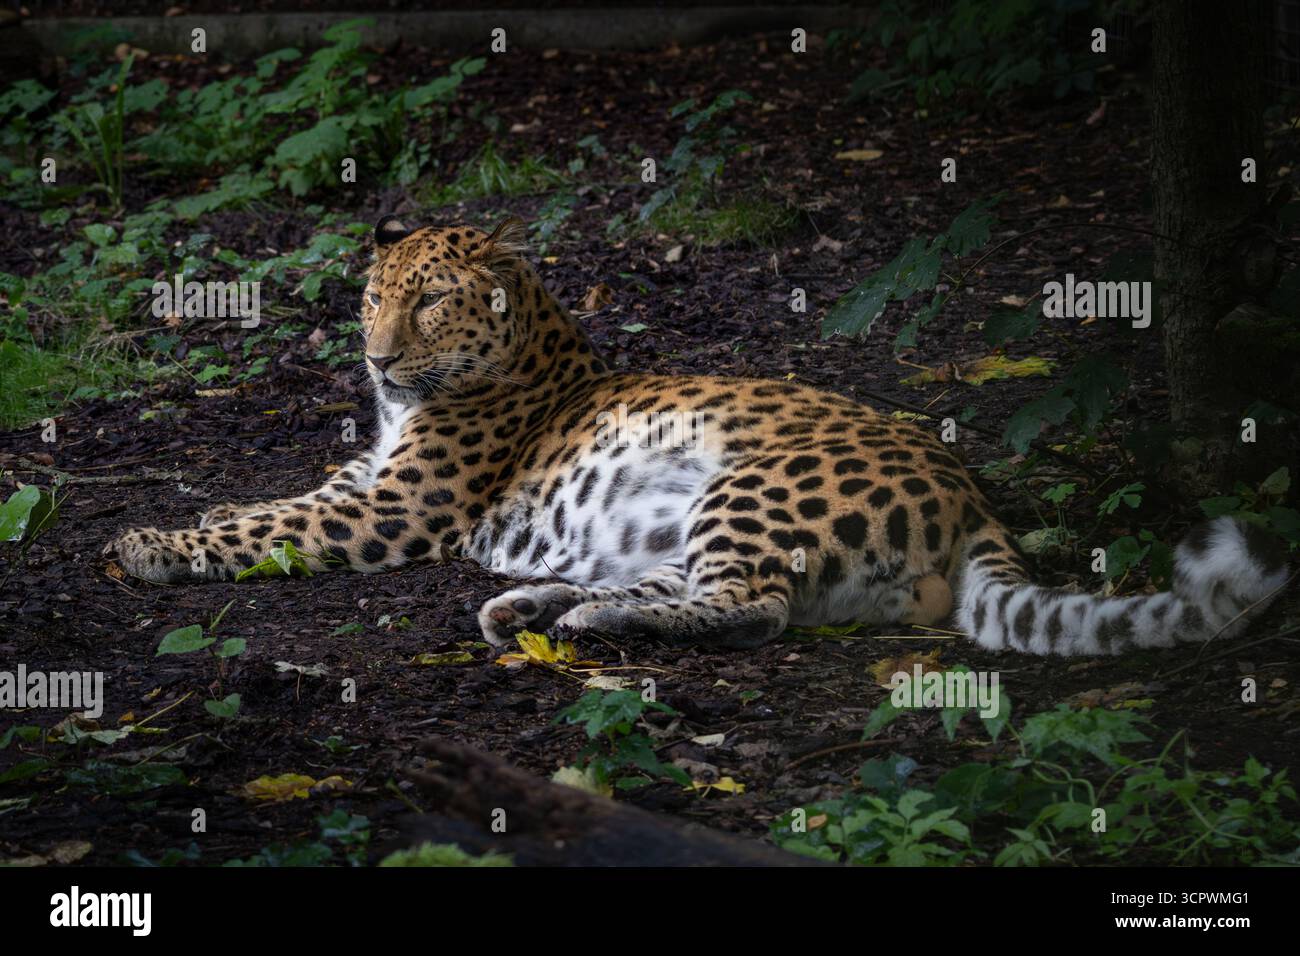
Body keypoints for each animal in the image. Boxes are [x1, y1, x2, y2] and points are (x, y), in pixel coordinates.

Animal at [104, 215, 1290, 656]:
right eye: (370, 299)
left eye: (431, 302)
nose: (380, 357)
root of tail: (971, 500)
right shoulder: (371, 473)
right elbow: (287, 495)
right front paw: (205, 506)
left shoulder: (400, 507)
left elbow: (271, 527)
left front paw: (149, 543)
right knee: (704, 587)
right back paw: (544, 605)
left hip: (756, 483)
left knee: (751, 607)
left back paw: (574, 614)